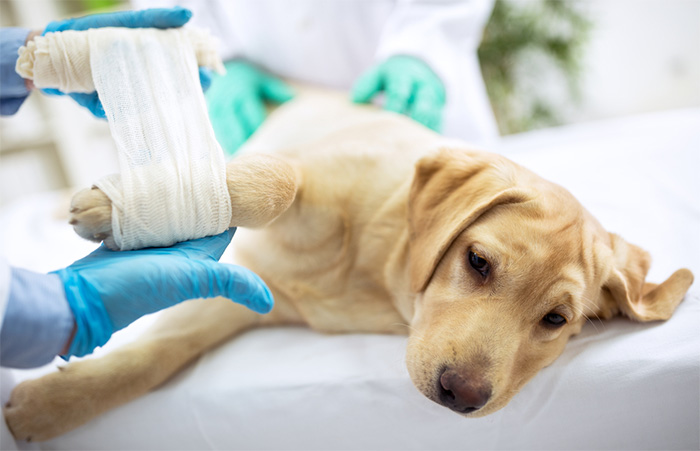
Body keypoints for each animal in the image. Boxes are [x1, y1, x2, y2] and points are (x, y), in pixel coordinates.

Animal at [4, 91, 696, 442]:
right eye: (477, 262)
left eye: (555, 321)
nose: (461, 396)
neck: (378, 272)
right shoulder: (306, 173)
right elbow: (277, 179)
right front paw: (123, 206)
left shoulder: (244, 298)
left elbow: (155, 357)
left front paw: (49, 406)